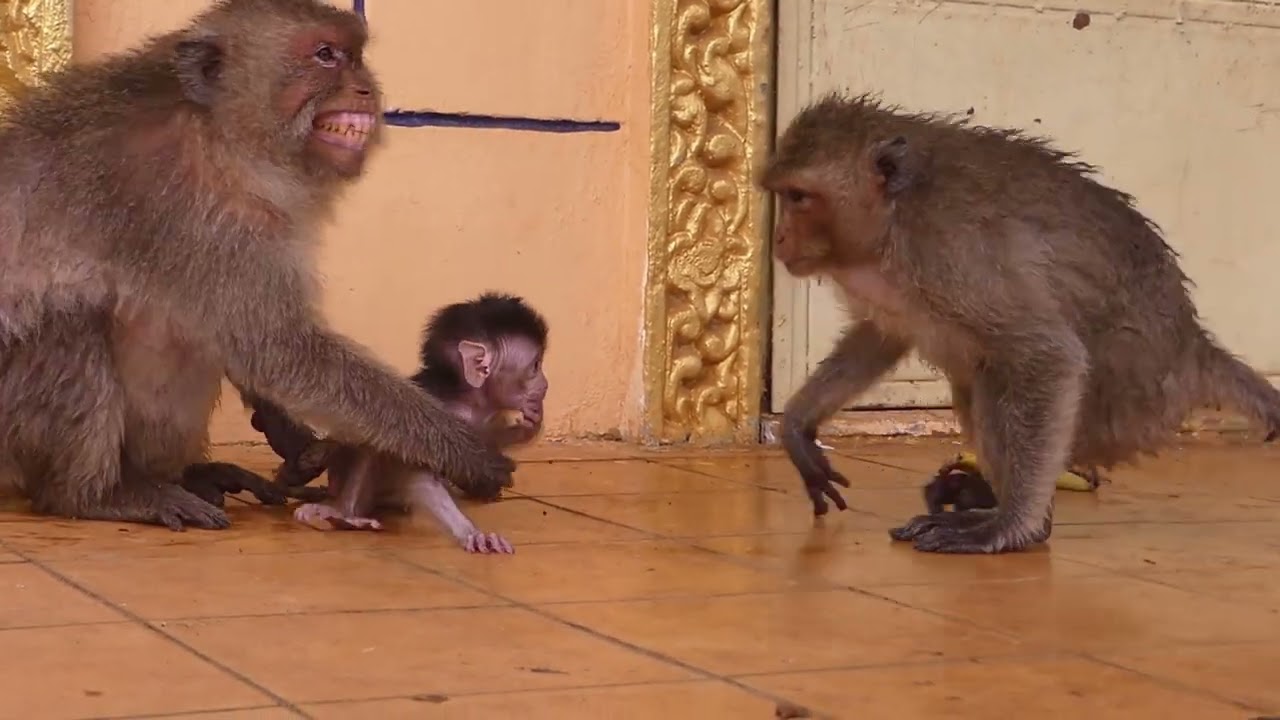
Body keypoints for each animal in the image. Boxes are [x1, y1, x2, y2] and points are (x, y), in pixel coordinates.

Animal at [0, 0, 515, 531]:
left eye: (356, 57)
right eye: (326, 55)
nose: (366, 89)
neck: (220, 134)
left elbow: (253, 340)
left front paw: (290, 435)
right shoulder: (205, 212)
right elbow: (278, 348)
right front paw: (462, 449)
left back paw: (192, 475)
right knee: (72, 323)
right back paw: (92, 495)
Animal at [251, 293, 549, 553]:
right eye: (535, 366)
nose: (545, 384)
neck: (470, 403)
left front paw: (528, 425)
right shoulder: (444, 418)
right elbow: (419, 475)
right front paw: (470, 532)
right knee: (377, 445)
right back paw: (346, 512)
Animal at [761, 92, 1280, 554]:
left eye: (799, 197)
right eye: (783, 195)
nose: (779, 238)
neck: (893, 220)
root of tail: (1192, 348)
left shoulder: (953, 251)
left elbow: (1049, 354)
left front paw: (1015, 526)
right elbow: (881, 335)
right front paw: (798, 423)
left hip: (1127, 401)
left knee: (1000, 374)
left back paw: (1019, 520)